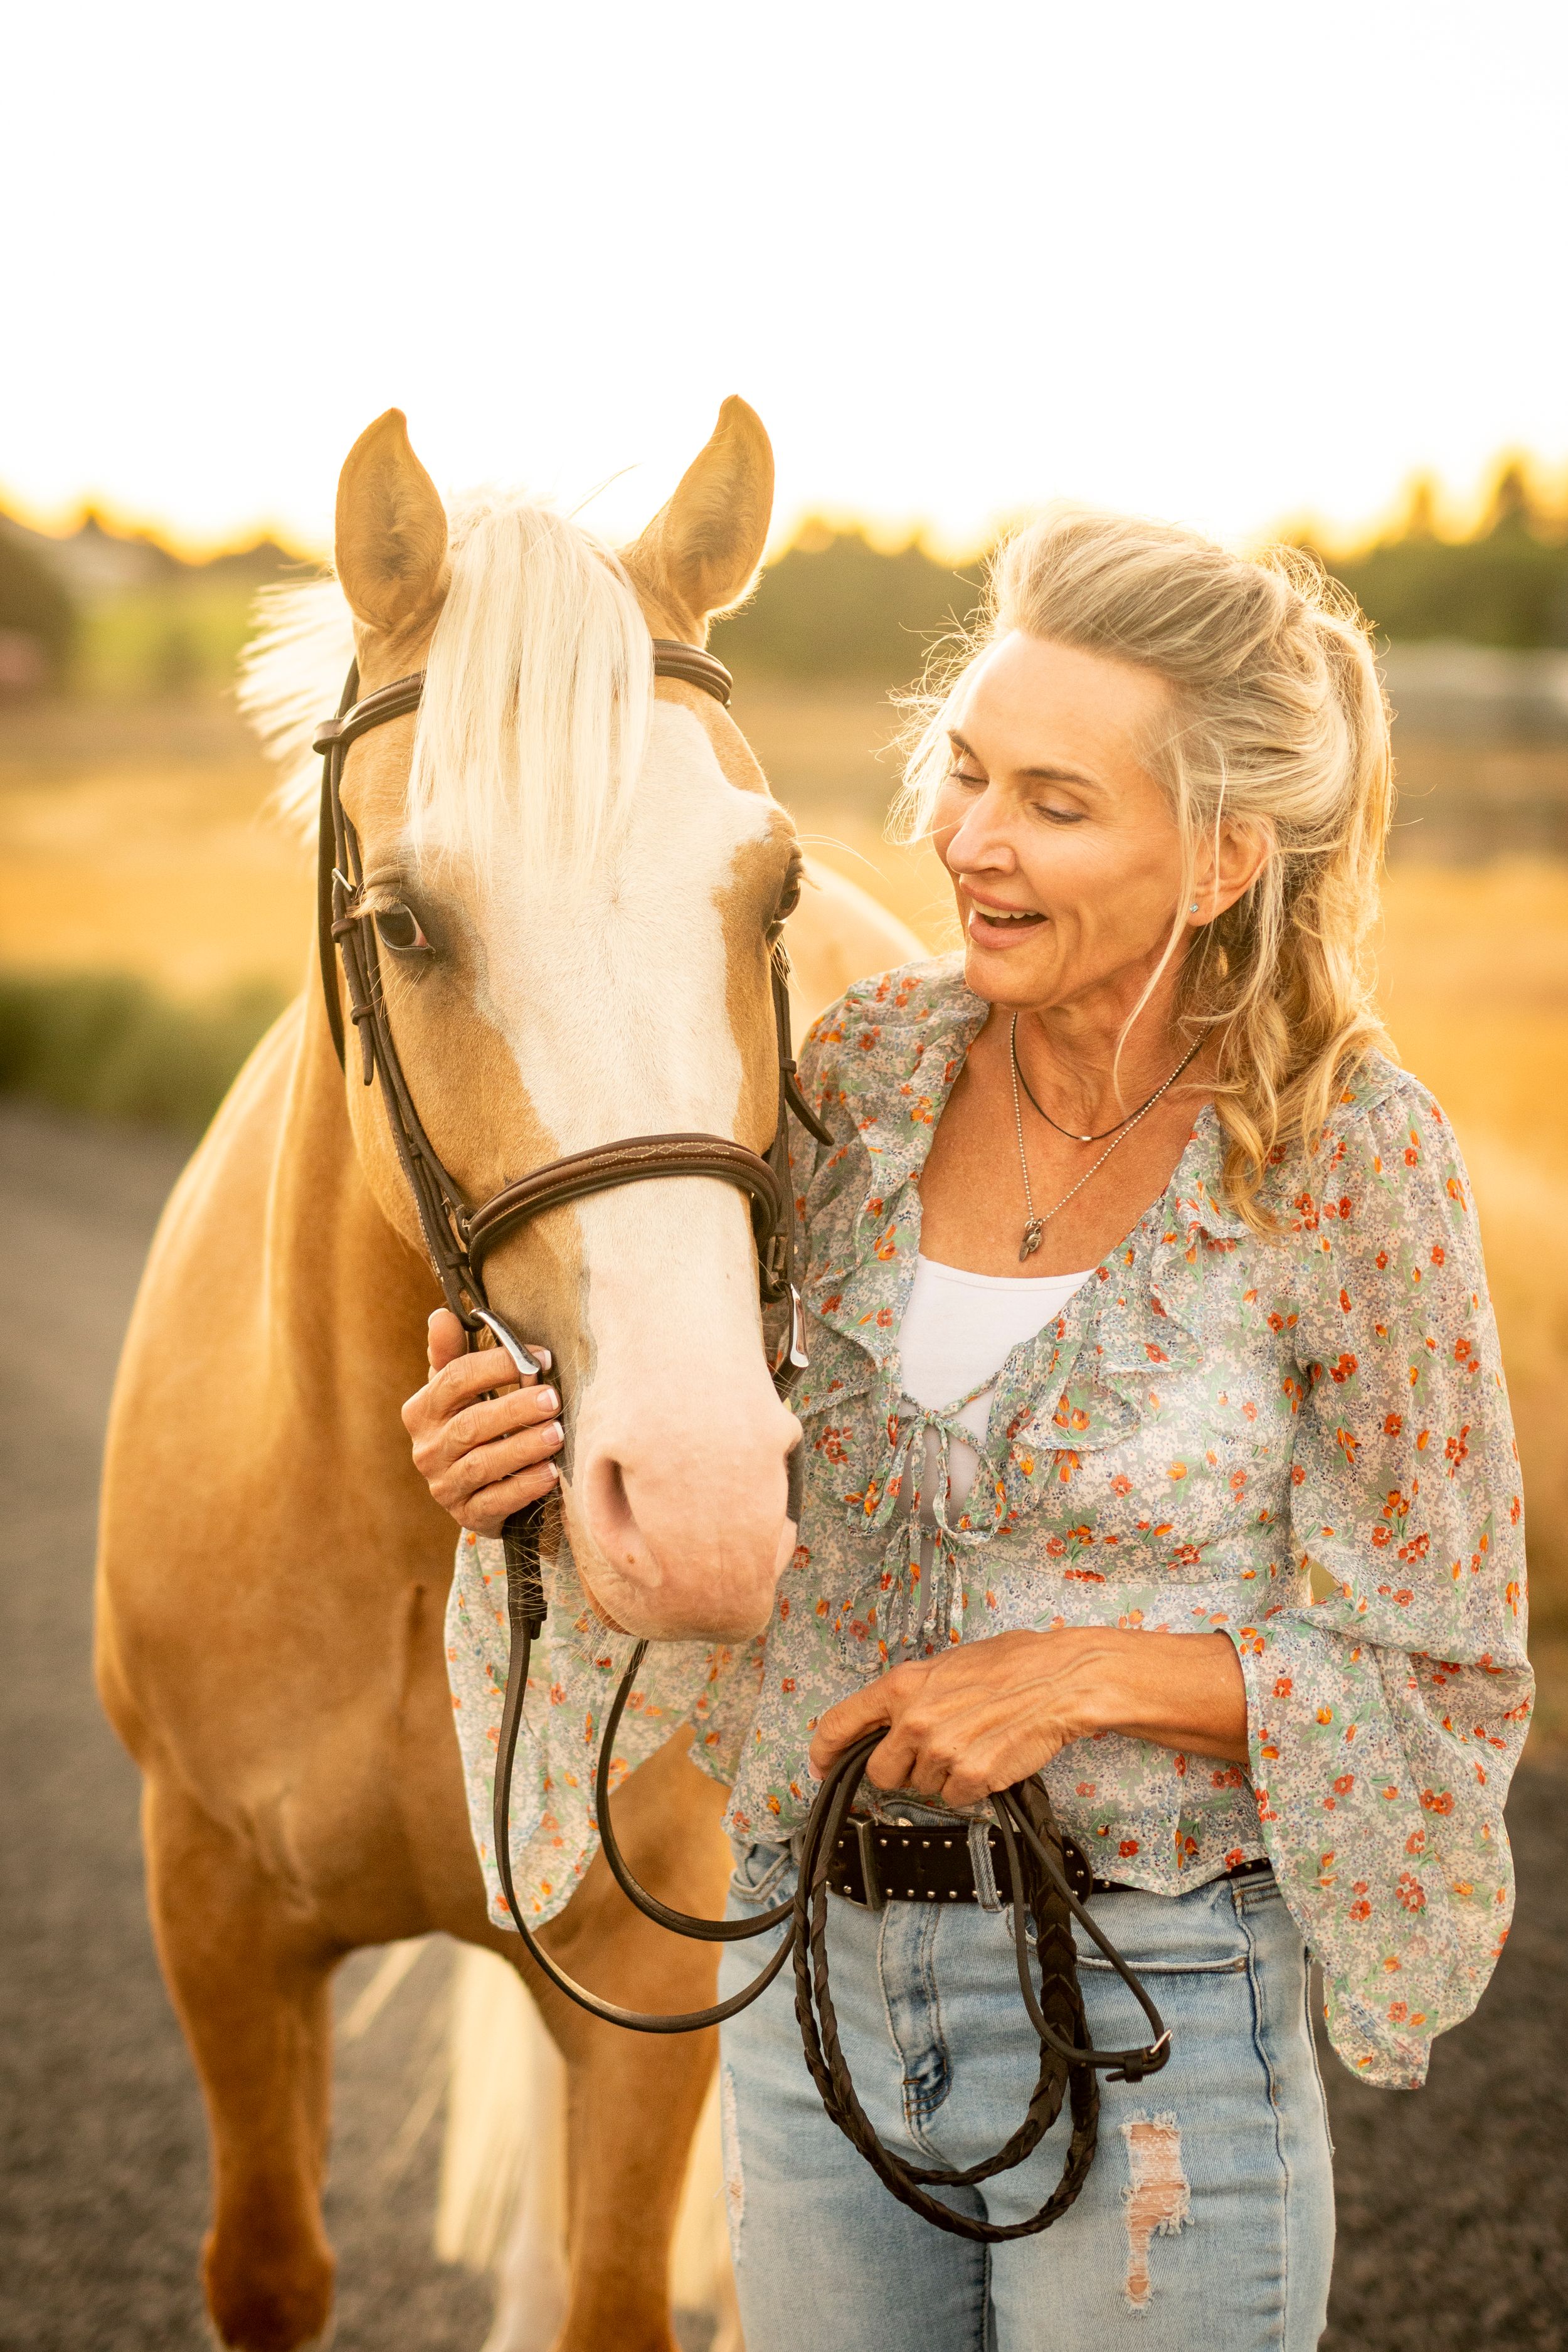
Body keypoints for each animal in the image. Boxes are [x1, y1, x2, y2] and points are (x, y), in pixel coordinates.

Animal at [94, 397, 919, 2352]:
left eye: (771, 889)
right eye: (404, 922)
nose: (696, 1503)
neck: (385, 1542)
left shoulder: (646, 1965)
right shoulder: (213, 1912)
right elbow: (267, 2267)